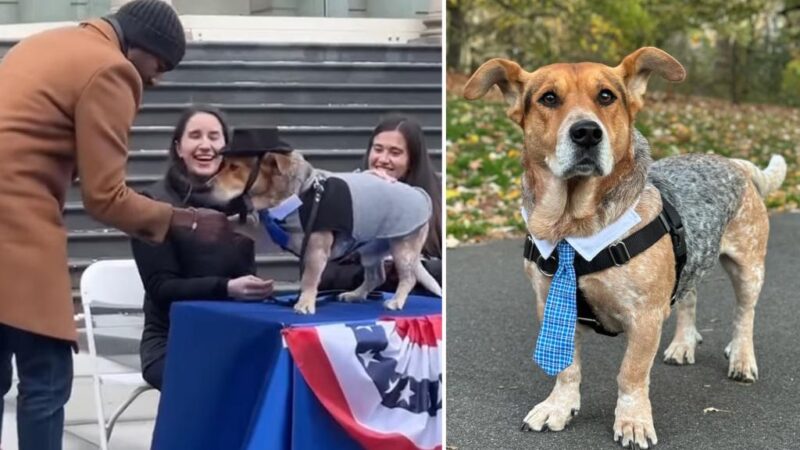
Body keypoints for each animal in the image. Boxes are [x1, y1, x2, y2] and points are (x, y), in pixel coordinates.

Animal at [209, 149, 440, 314]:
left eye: (235, 167)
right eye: (223, 165)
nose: (208, 185)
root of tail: (418, 192)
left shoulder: (316, 248)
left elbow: (310, 277)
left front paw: (305, 302)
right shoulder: (265, 229)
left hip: (403, 247)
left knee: (408, 278)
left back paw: (396, 301)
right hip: (371, 249)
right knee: (377, 276)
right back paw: (355, 295)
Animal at [466, 47, 784, 448]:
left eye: (606, 96)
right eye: (548, 98)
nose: (587, 132)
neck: (573, 229)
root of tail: (734, 162)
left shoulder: (645, 316)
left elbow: (631, 374)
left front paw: (632, 421)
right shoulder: (550, 304)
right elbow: (567, 367)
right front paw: (558, 406)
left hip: (749, 269)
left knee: (744, 315)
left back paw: (741, 358)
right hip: (690, 263)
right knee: (689, 296)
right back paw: (683, 343)